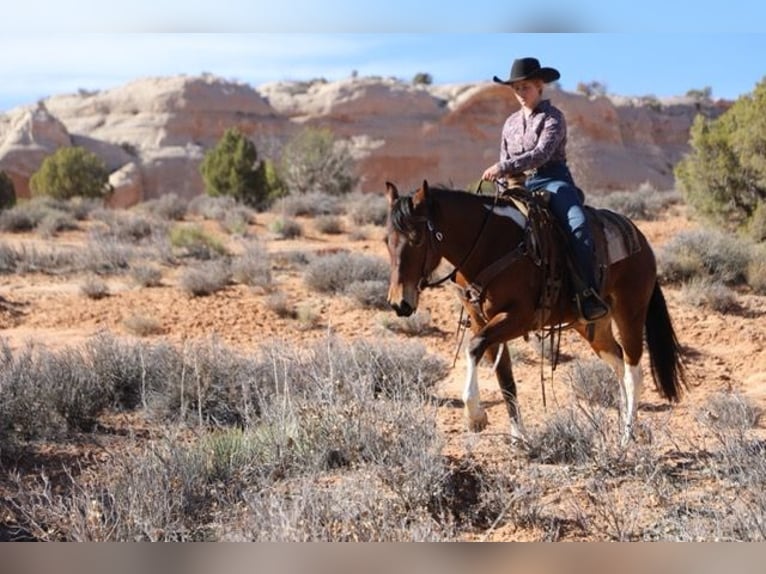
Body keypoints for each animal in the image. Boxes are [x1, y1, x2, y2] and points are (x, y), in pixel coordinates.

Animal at [388, 180, 688, 450]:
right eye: (387, 241)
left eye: (416, 239)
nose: (399, 303)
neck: (490, 245)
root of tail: (641, 240)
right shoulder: (481, 321)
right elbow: (506, 380)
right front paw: (519, 437)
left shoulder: (517, 318)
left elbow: (474, 348)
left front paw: (475, 416)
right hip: (593, 326)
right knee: (618, 364)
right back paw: (623, 428)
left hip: (630, 313)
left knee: (633, 372)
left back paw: (626, 438)